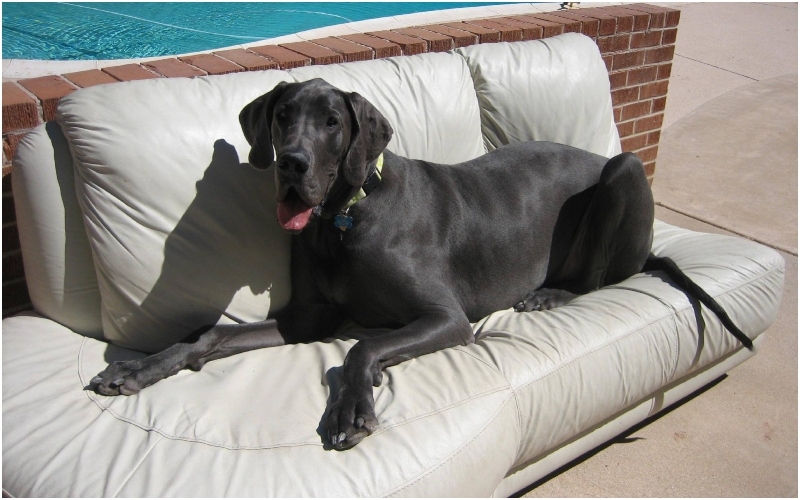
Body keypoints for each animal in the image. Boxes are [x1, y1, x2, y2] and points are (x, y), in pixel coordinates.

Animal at [90, 77, 752, 450]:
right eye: (282, 117)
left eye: (333, 123)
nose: (292, 164)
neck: (341, 219)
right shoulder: (308, 319)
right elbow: (209, 333)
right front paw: (140, 367)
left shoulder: (446, 318)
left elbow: (362, 346)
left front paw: (353, 406)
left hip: (625, 169)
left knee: (601, 273)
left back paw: (552, 293)